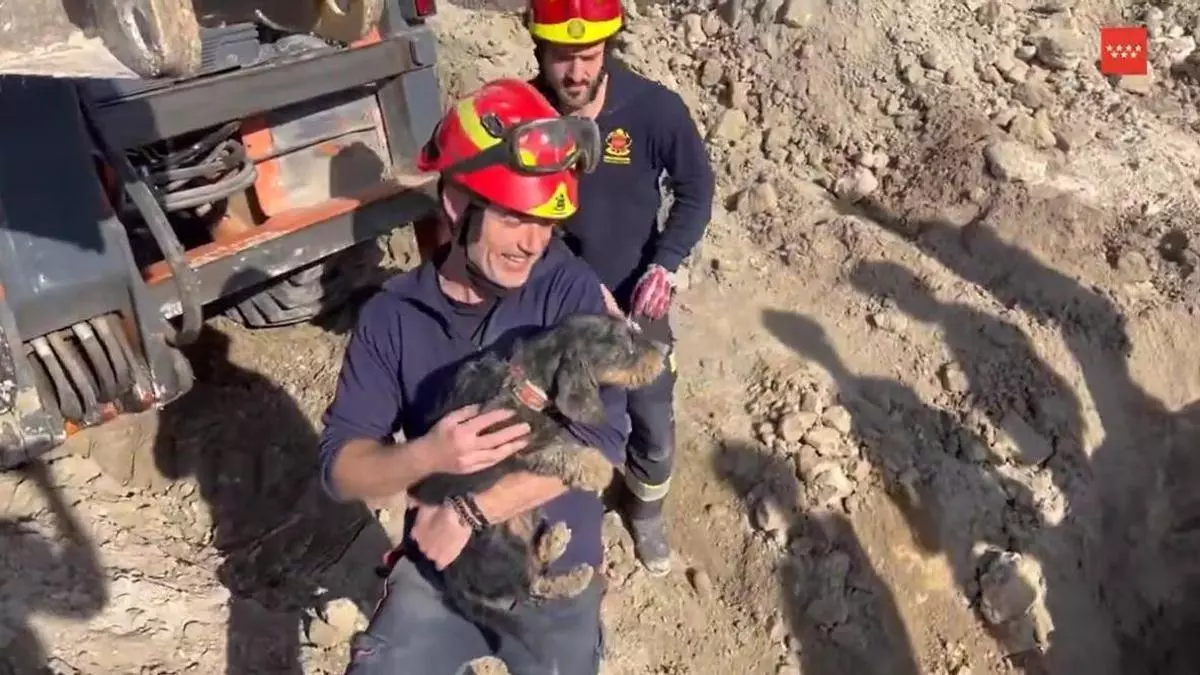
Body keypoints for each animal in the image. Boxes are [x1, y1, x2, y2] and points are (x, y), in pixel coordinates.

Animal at [410, 312, 668, 613]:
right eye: (627, 343)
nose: (664, 351)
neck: (524, 384)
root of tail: (454, 582)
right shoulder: (502, 442)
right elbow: (557, 449)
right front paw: (598, 468)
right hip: (502, 544)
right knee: (530, 586)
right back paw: (573, 573)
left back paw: (553, 541)